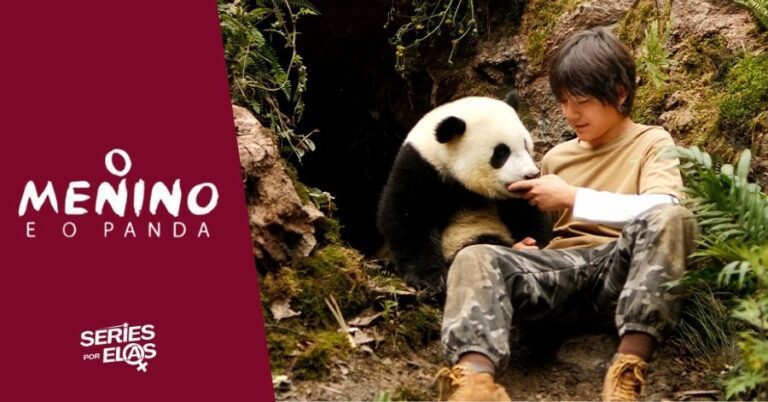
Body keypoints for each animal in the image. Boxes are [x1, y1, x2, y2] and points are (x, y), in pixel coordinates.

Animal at [377, 96, 551, 294]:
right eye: (501, 152)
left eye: (525, 145)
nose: (530, 175)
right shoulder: (421, 167)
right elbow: (407, 216)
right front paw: (431, 279)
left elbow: (527, 212)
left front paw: (536, 244)